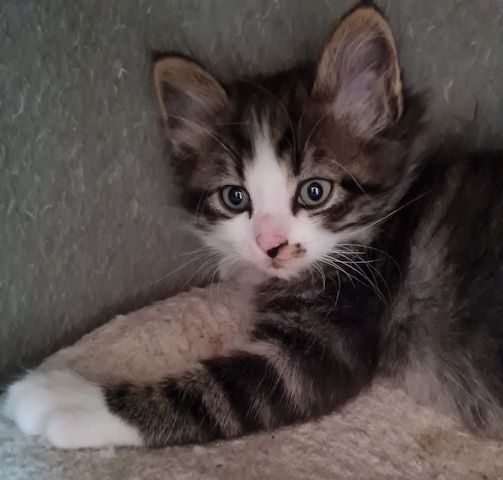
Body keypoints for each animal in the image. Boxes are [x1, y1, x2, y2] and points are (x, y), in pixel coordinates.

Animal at [3, 4, 503, 450]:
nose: (269, 245)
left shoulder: (328, 343)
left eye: (315, 192)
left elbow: (210, 395)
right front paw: (238, 262)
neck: (388, 220)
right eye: (235, 197)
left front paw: (64, 401)